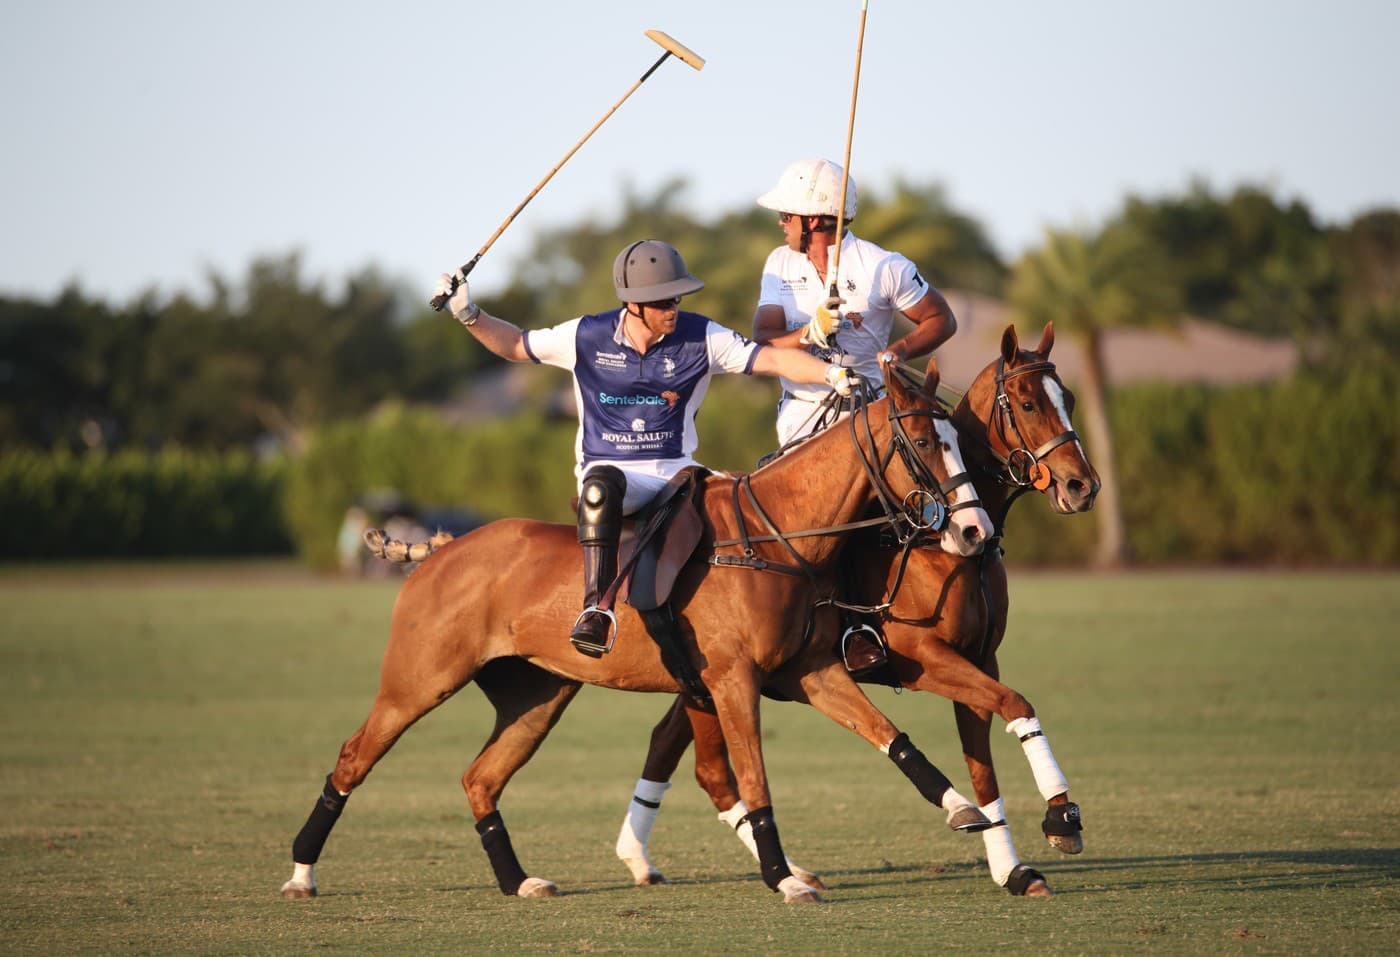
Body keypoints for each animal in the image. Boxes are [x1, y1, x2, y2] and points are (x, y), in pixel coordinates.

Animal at [275, 358, 996, 906]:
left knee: (480, 776)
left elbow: (891, 735)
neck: (778, 536)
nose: (973, 531)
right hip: (418, 681)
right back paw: (301, 874)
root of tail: (442, 548)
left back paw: (519, 881)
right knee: (353, 757)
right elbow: (755, 778)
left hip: (537, 696)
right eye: (925, 443)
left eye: (959, 440)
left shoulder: (811, 670)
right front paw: (784, 878)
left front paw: (965, 809)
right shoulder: (733, 681)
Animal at [618, 327, 1097, 895]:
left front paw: (1014, 868)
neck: (947, 548)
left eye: (1069, 399)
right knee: (696, 757)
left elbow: (985, 760)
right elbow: (1016, 703)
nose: (1083, 486)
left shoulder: (981, 658)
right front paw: (1061, 817)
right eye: (1027, 403)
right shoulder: (923, 657)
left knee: (674, 744)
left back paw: (645, 856)